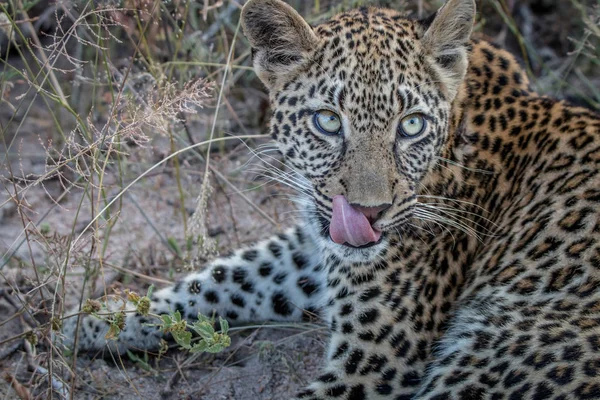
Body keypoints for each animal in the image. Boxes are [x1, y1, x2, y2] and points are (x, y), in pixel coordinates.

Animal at [62, 1, 600, 398]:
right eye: (327, 121)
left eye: (412, 125)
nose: (369, 212)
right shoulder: (313, 245)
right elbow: (225, 277)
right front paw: (95, 322)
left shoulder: (377, 361)